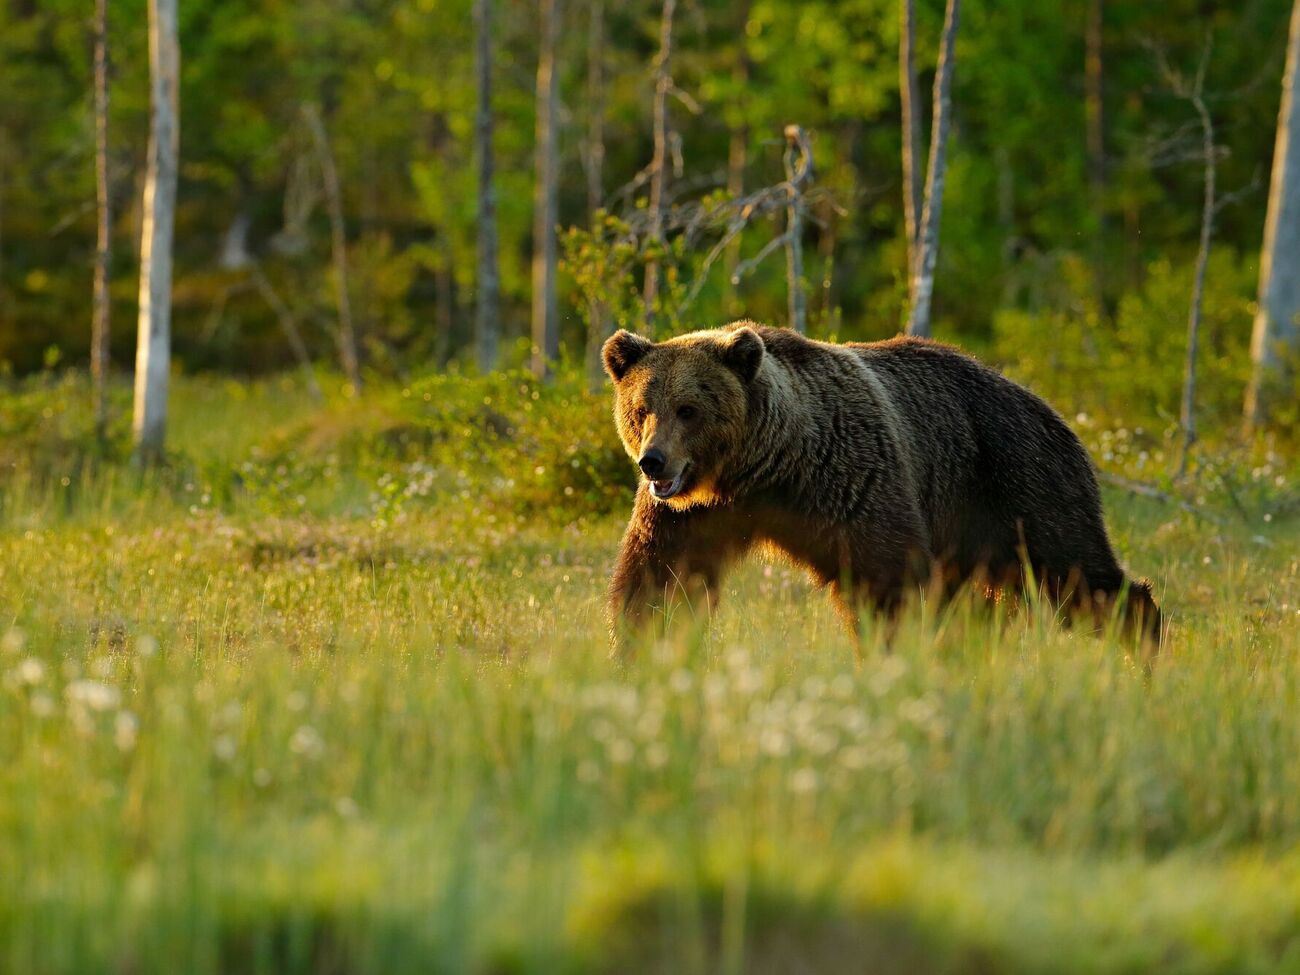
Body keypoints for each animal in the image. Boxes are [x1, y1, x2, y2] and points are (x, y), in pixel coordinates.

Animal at [601, 321, 1162, 652]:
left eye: (689, 409)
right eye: (642, 408)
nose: (653, 462)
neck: (761, 469)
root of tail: (1049, 406)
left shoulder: (850, 477)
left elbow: (887, 578)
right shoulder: (693, 515)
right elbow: (659, 581)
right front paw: (642, 645)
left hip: (1020, 474)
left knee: (1077, 568)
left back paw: (1141, 646)